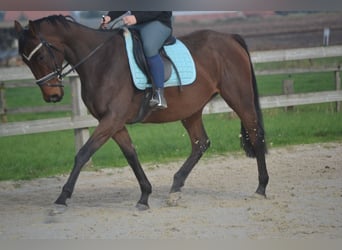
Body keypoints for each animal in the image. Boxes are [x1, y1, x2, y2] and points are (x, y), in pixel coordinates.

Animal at [14, 15, 268, 211]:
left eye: (40, 56)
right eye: (26, 61)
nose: (52, 96)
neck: (101, 61)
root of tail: (230, 38)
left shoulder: (111, 120)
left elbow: (83, 154)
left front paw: (61, 198)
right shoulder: (114, 123)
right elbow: (131, 155)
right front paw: (145, 196)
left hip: (239, 99)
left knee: (255, 134)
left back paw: (261, 188)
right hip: (191, 110)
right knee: (200, 143)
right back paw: (175, 189)